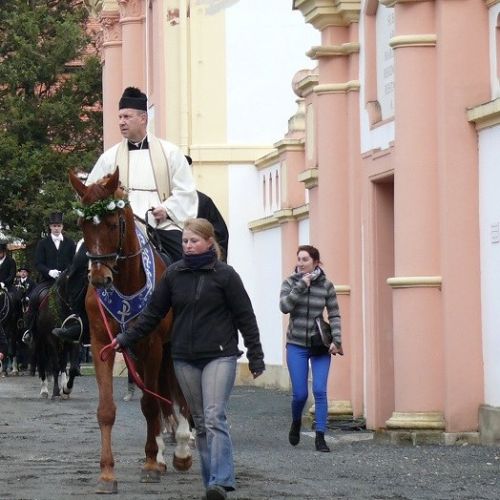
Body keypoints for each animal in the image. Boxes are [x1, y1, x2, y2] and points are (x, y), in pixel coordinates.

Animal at [67, 167, 191, 492]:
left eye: (112, 224)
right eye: (82, 224)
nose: (100, 279)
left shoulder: (153, 346)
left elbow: (149, 403)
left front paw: (150, 463)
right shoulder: (103, 345)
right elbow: (106, 410)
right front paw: (107, 473)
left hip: (171, 347)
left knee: (177, 394)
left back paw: (182, 449)